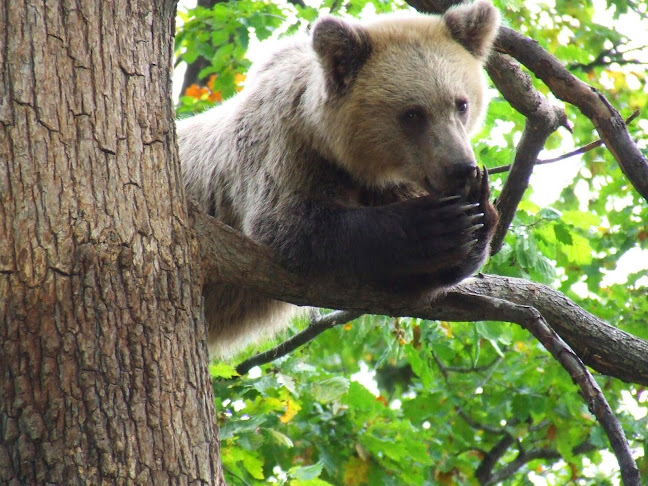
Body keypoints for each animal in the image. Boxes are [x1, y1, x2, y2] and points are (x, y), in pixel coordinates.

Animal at [177, 0, 502, 356]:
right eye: (413, 113)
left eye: (461, 104)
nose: (460, 167)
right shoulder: (286, 150)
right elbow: (290, 226)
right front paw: (436, 223)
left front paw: (478, 210)